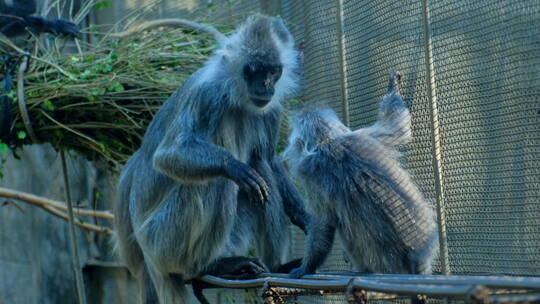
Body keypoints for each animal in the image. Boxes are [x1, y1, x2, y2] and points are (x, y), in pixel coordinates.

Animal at [114, 15, 308, 304]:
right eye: (252, 70)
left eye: (273, 72)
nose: (265, 86)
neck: (238, 97)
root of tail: (150, 262)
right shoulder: (207, 93)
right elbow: (168, 155)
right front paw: (233, 166)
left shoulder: (271, 107)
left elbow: (269, 160)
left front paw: (307, 219)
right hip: (161, 242)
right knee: (219, 181)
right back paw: (206, 266)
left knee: (260, 166)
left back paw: (275, 267)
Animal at [284, 72, 436, 278]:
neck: (327, 142)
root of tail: (414, 260)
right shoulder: (363, 135)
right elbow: (396, 126)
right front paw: (393, 87)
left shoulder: (312, 175)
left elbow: (322, 226)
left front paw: (305, 267)